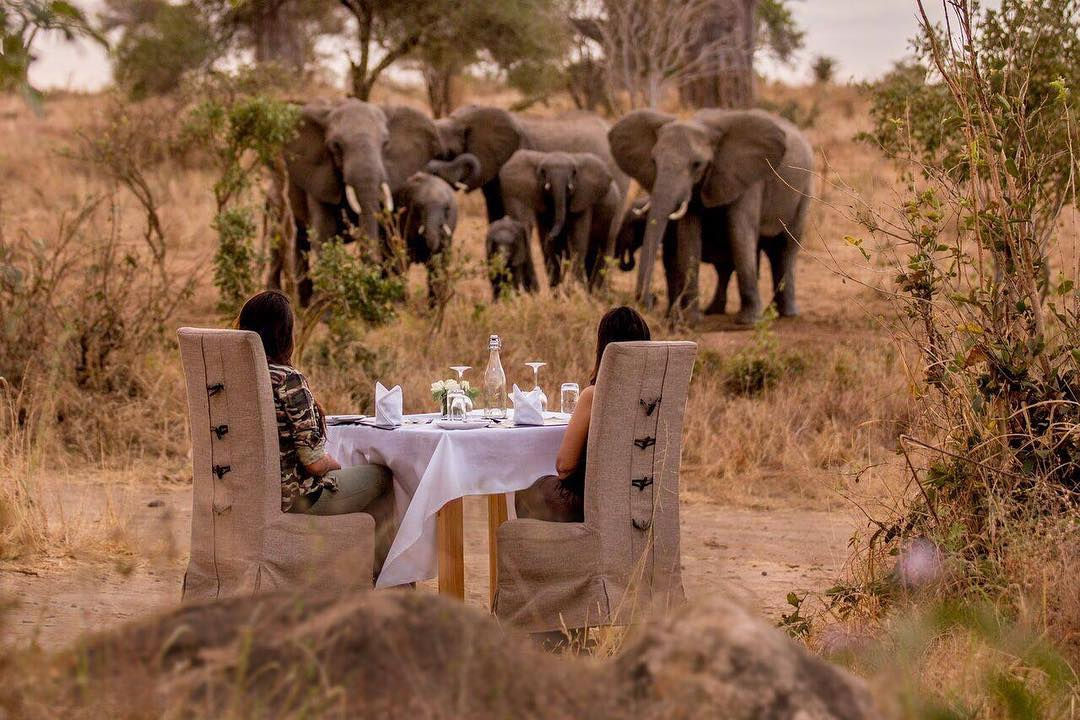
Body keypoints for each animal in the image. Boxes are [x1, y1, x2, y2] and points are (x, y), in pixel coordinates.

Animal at [280, 98, 442, 303]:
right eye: (336, 146)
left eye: (385, 144)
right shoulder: (320, 177)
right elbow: (324, 231)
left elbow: (384, 230)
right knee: (299, 243)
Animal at [498, 150, 620, 290]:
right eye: (543, 171)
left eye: (574, 172)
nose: (551, 236)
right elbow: (553, 248)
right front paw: (557, 290)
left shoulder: (583, 199)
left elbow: (577, 243)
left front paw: (572, 290)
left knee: (604, 249)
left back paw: (594, 292)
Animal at [609, 109, 813, 325]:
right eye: (653, 161)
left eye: (697, 164)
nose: (650, 300)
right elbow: (688, 237)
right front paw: (691, 320)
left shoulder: (747, 177)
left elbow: (739, 232)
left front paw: (748, 322)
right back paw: (720, 311)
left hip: (804, 190)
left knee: (785, 247)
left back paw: (785, 314)